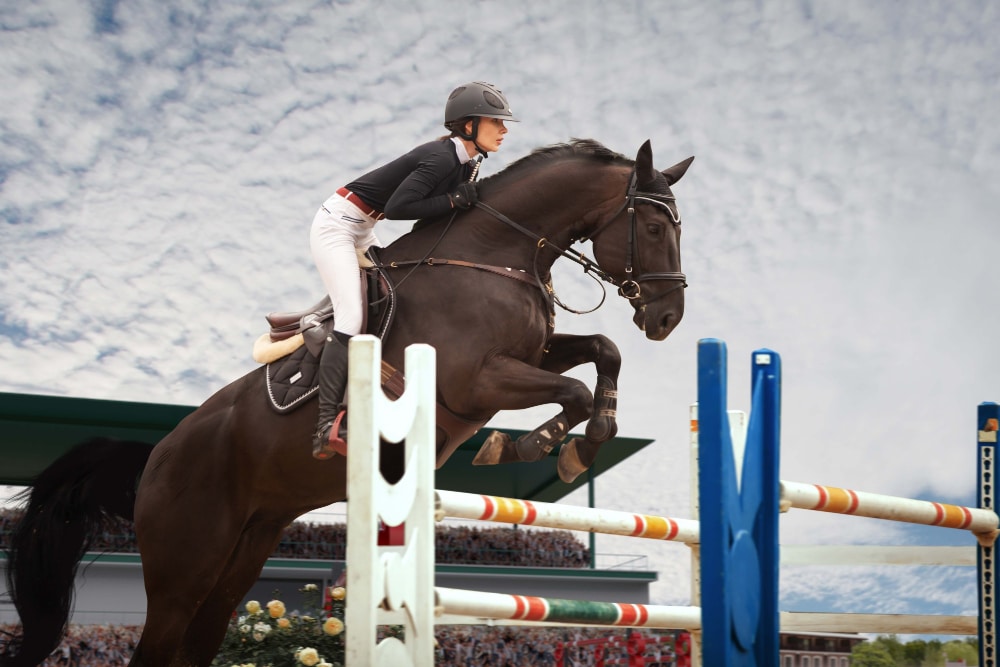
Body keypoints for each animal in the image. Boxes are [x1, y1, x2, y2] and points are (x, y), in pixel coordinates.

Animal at [0, 138, 692, 664]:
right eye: (656, 227)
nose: (667, 319)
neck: (496, 255)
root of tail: (155, 457)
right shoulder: (475, 380)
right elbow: (572, 388)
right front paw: (536, 445)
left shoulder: (532, 353)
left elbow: (603, 350)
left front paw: (580, 439)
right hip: (182, 568)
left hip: (241, 554)